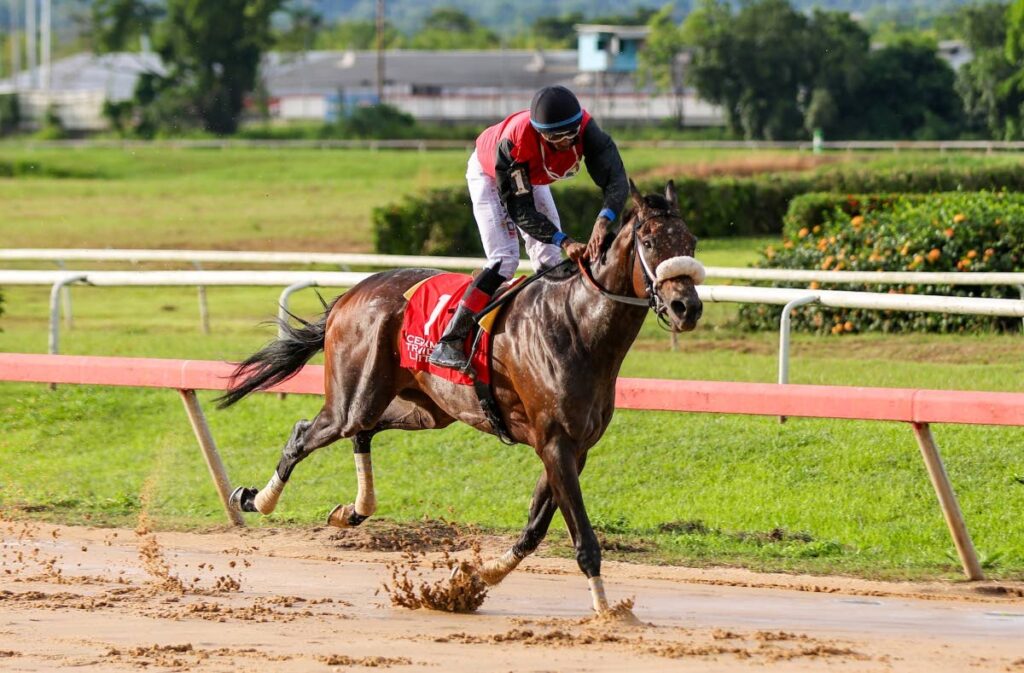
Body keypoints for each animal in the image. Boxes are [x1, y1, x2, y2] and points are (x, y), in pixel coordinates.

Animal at [218, 181, 704, 610]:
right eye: (648, 240)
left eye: (692, 241)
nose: (688, 307)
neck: (577, 325)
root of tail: (351, 294)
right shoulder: (555, 443)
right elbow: (582, 538)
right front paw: (609, 612)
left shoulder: (573, 447)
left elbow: (535, 527)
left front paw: (473, 576)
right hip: (351, 400)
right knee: (306, 433)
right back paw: (255, 499)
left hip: (427, 409)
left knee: (365, 431)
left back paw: (352, 510)